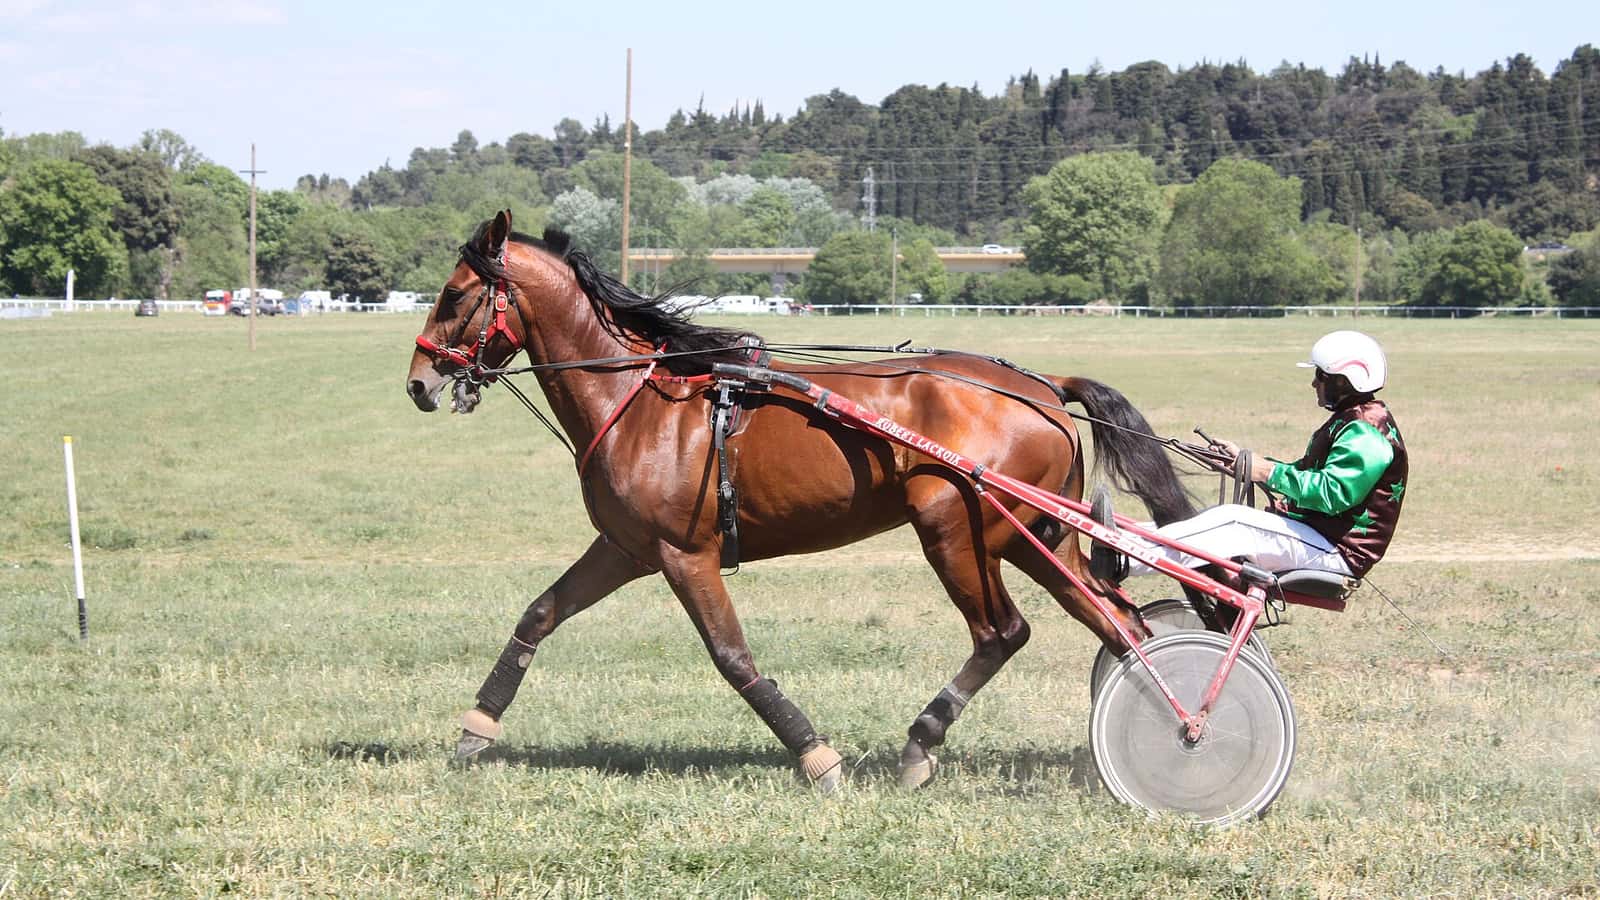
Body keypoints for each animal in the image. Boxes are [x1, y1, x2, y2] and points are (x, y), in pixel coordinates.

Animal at [406, 210, 1196, 790]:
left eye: (453, 295)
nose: (418, 381)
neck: (642, 401)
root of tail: (1040, 386)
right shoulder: (626, 548)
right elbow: (539, 614)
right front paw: (476, 730)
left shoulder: (684, 555)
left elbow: (733, 657)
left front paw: (817, 757)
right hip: (1036, 537)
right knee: (1119, 622)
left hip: (956, 531)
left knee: (1004, 632)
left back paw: (926, 744)